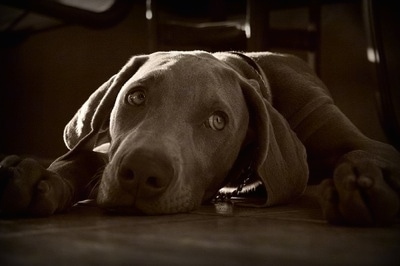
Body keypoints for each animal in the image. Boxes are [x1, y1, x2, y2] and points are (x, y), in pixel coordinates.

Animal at [0, 51, 400, 225]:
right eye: (136, 97)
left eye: (218, 121)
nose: (142, 172)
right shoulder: (108, 151)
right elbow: (83, 157)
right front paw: (38, 176)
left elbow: (363, 153)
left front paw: (363, 182)